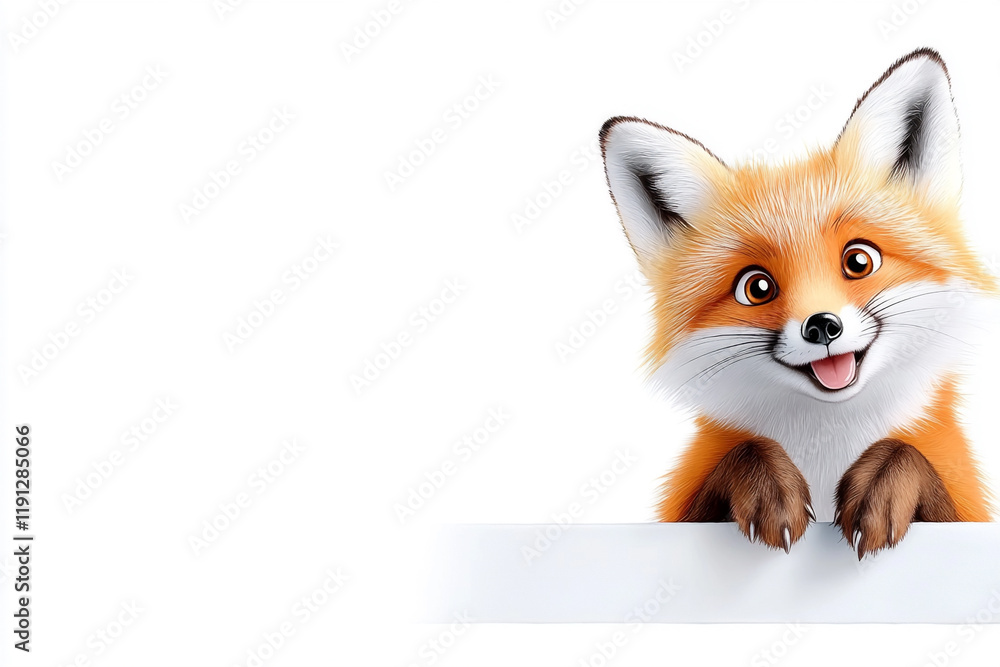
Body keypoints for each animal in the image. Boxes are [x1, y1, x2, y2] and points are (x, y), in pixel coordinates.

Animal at [599, 48, 997, 558]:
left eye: (859, 260)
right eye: (756, 287)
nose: (822, 326)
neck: (828, 446)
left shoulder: (967, 512)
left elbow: (906, 453)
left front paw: (882, 486)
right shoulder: (683, 514)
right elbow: (745, 450)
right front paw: (769, 488)